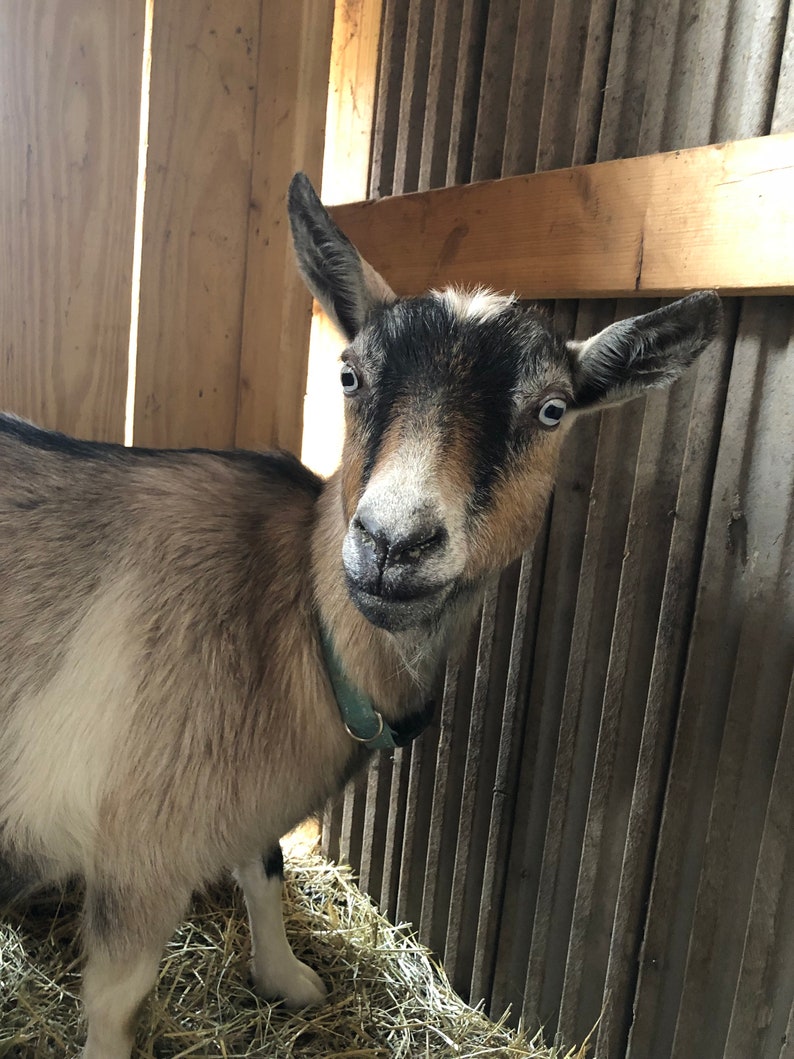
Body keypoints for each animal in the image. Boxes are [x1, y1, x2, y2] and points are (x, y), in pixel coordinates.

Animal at [0, 169, 719, 1054]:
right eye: (350, 375)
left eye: (552, 410)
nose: (391, 542)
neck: (293, 620)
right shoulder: (142, 853)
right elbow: (117, 1000)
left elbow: (265, 864)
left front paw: (287, 977)